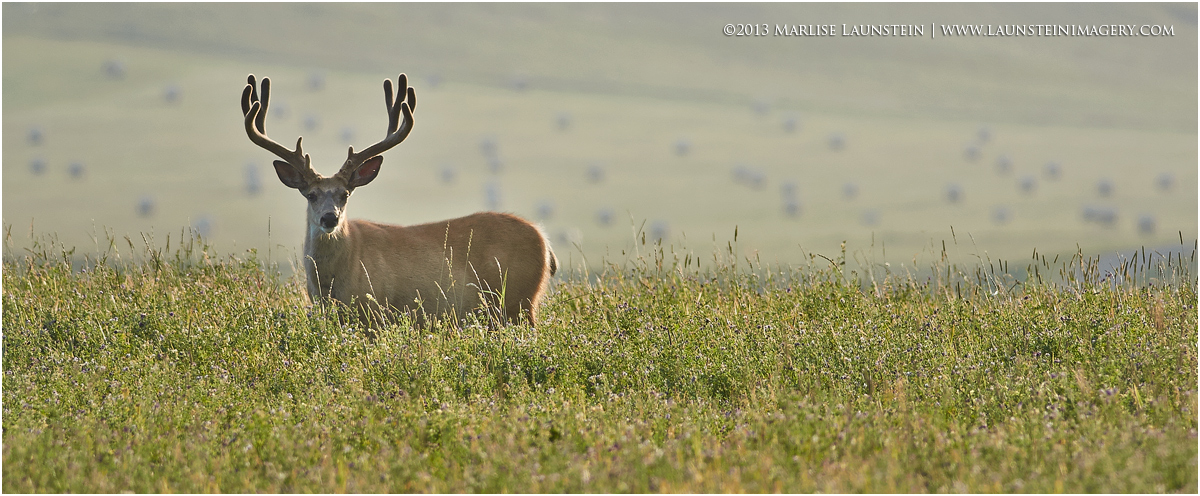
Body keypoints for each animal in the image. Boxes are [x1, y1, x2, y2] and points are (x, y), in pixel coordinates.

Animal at [240, 73, 557, 328]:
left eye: (345, 194)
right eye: (311, 194)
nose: (330, 218)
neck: (335, 279)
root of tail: (544, 242)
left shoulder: (373, 311)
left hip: (519, 301)